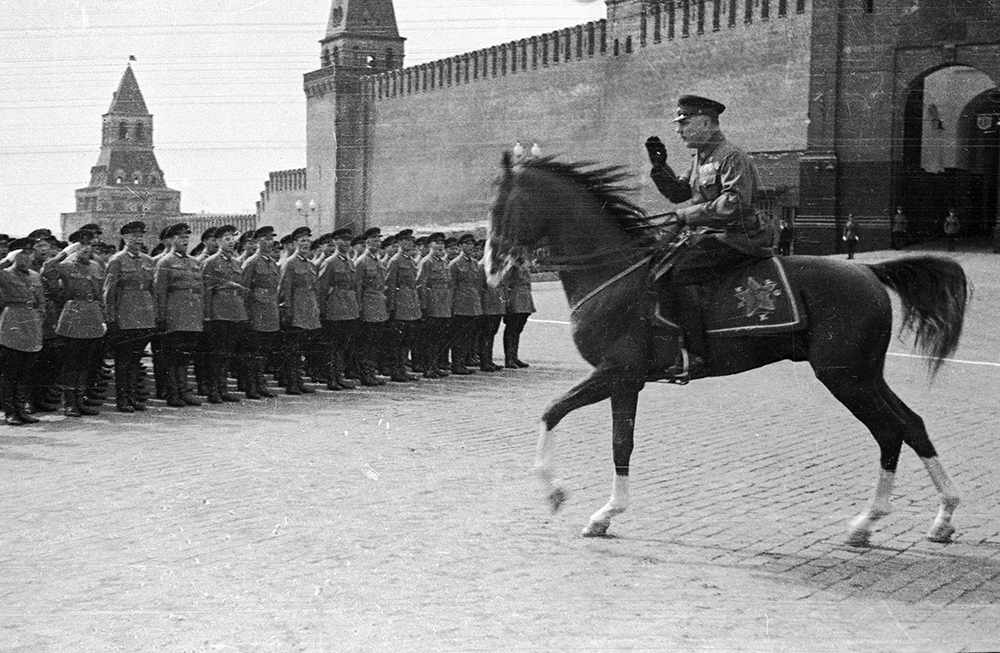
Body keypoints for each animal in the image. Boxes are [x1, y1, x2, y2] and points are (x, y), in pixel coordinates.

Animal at [484, 153, 968, 544]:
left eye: (500, 207)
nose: (489, 267)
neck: (617, 273)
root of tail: (869, 271)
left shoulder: (614, 372)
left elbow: (552, 411)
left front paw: (553, 490)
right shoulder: (625, 381)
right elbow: (622, 443)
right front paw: (607, 513)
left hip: (845, 377)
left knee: (890, 431)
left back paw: (870, 520)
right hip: (865, 374)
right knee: (912, 425)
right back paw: (940, 516)